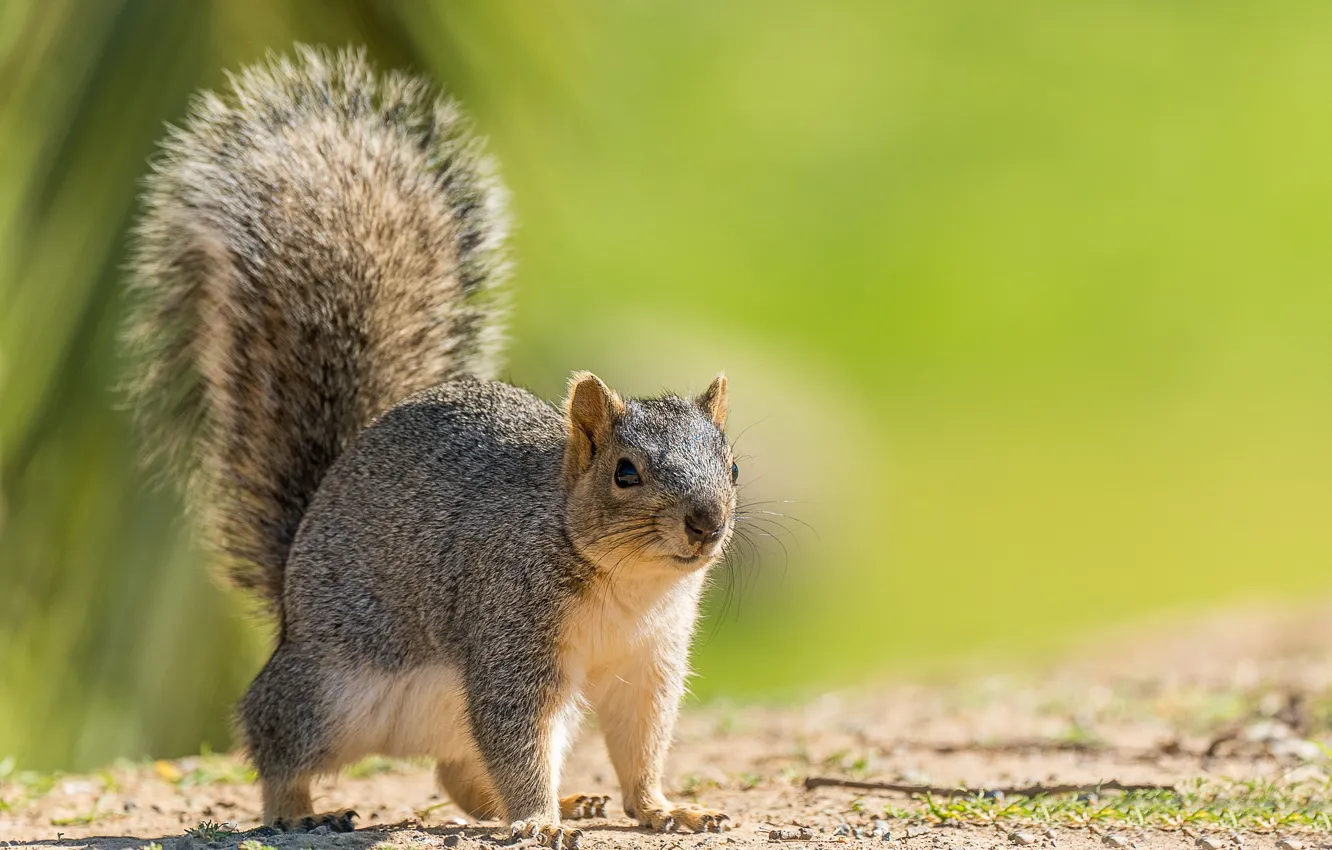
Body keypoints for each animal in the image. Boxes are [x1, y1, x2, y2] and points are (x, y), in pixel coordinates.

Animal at [123, 48, 740, 847]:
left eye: (733, 465)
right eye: (625, 472)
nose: (707, 522)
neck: (629, 587)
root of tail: (289, 584)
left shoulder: (647, 665)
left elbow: (642, 745)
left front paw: (665, 808)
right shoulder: (509, 637)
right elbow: (514, 736)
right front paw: (538, 820)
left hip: (472, 717)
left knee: (458, 773)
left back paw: (568, 799)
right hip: (326, 690)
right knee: (275, 740)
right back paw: (303, 811)